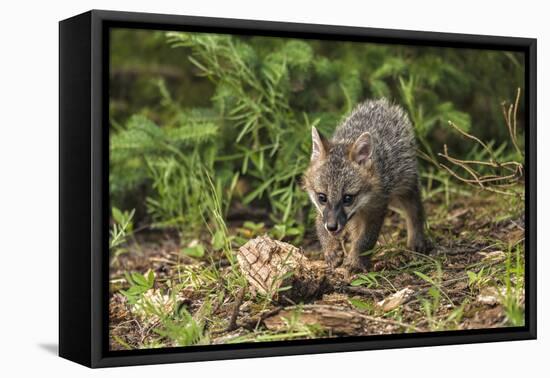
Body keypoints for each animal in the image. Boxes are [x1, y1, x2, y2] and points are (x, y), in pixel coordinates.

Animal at [304, 99, 434, 274]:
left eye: (347, 198)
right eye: (322, 197)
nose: (332, 226)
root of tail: (381, 103)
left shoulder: (376, 209)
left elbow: (365, 240)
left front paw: (356, 261)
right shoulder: (323, 211)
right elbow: (320, 225)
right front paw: (331, 250)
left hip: (405, 186)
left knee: (415, 209)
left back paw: (416, 239)